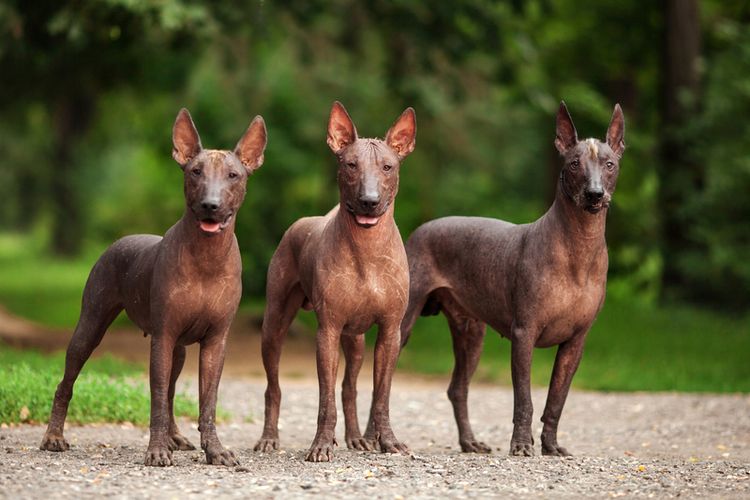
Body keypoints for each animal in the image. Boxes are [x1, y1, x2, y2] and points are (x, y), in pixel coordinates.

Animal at [39, 107, 268, 466]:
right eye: (195, 172)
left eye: (233, 175)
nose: (211, 204)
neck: (207, 257)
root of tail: (120, 240)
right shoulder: (163, 337)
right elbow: (157, 397)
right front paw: (157, 449)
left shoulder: (216, 342)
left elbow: (207, 402)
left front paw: (214, 450)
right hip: (91, 326)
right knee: (67, 381)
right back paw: (53, 436)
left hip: (178, 350)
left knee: (172, 391)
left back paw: (175, 437)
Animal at [253, 100, 418, 460]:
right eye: (350, 165)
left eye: (388, 167)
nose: (369, 200)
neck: (367, 250)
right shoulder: (326, 332)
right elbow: (324, 399)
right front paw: (321, 444)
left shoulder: (390, 332)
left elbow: (380, 396)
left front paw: (387, 441)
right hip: (274, 326)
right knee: (273, 388)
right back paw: (269, 438)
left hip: (355, 341)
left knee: (350, 388)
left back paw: (356, 438)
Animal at [402, 101, 624, 458]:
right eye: (574, 163)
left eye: (610, 164)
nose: (594, 194)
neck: (578, 248)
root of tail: (420, 230)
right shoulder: (524, 334)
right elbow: (524, 400)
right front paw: (521, 444)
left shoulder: (576, 342)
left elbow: (556, 400)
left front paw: (551, 445)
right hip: (403, 325)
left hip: (471, 335)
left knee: (457, 389)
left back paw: (469, 442)